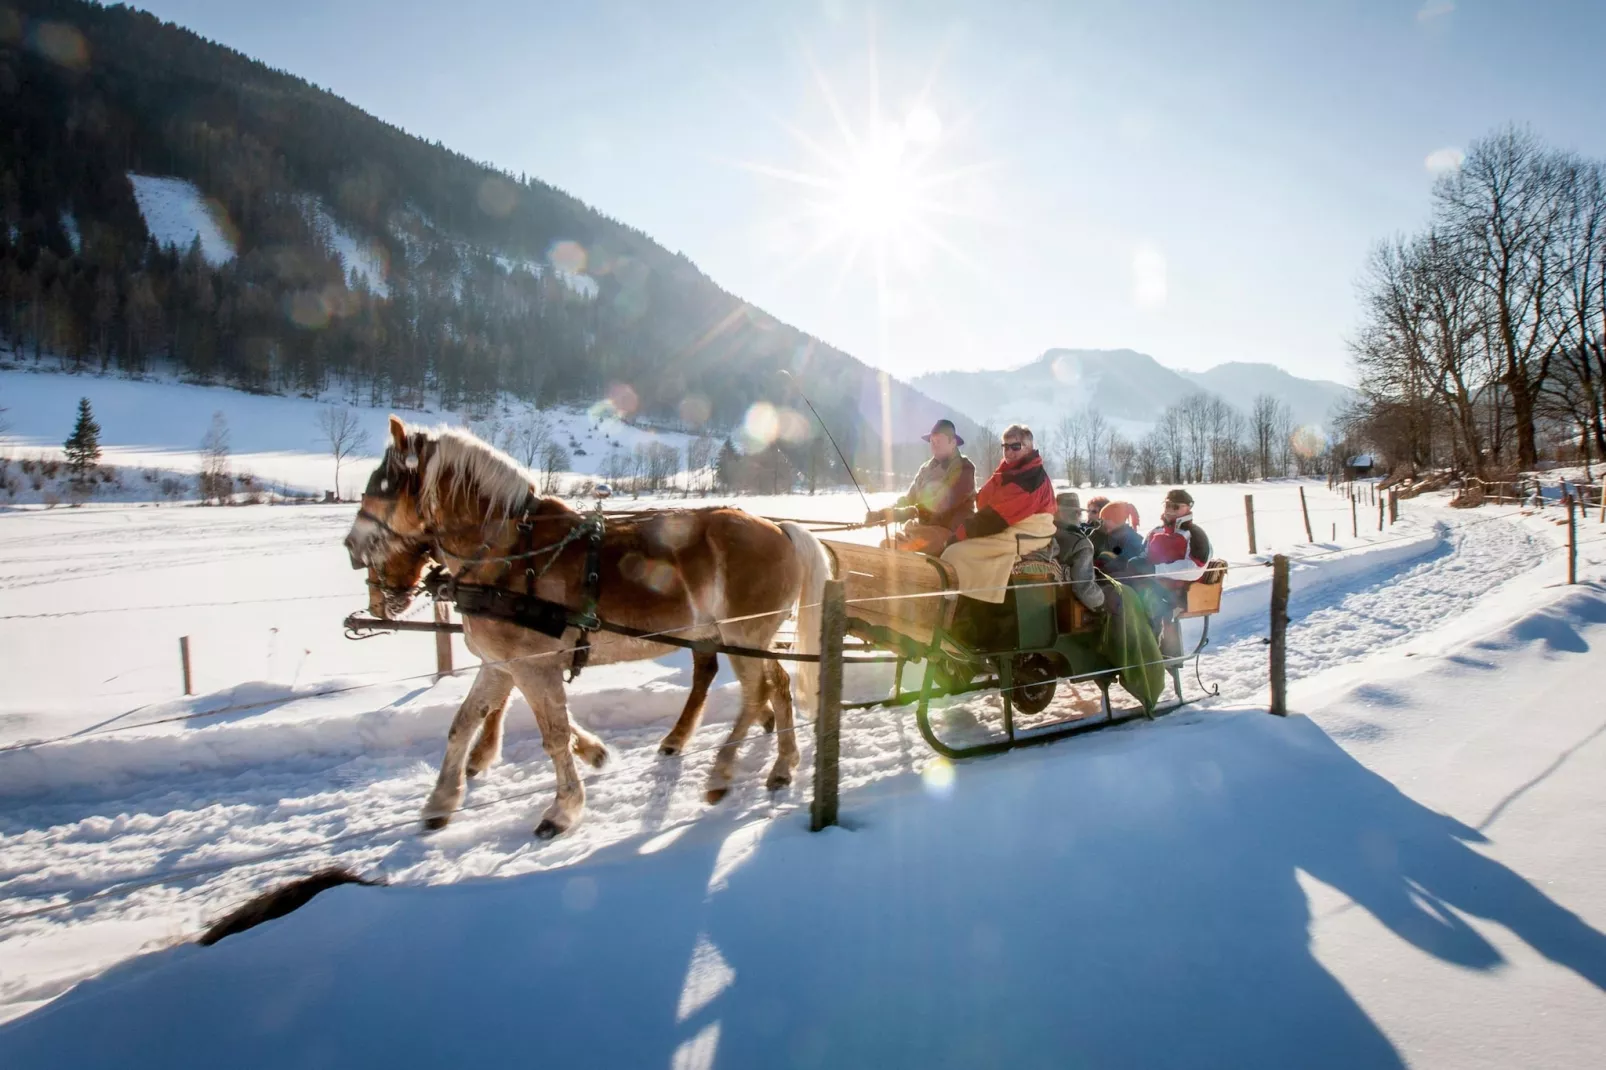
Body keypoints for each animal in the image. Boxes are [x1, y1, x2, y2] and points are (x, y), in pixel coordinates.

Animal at [346, 411, 835, 835]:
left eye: (383, 485)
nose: (351, 548)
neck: (508, 555)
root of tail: (779, 527)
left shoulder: (534, 665)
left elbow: (555, 735)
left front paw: (562, 810)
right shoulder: (499, 665)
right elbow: (463, 725)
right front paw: (441, 802)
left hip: (744, 631)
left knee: (756, 692)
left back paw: (722, 773)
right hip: (745, 635)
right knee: (776, 685)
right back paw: (781, 765)